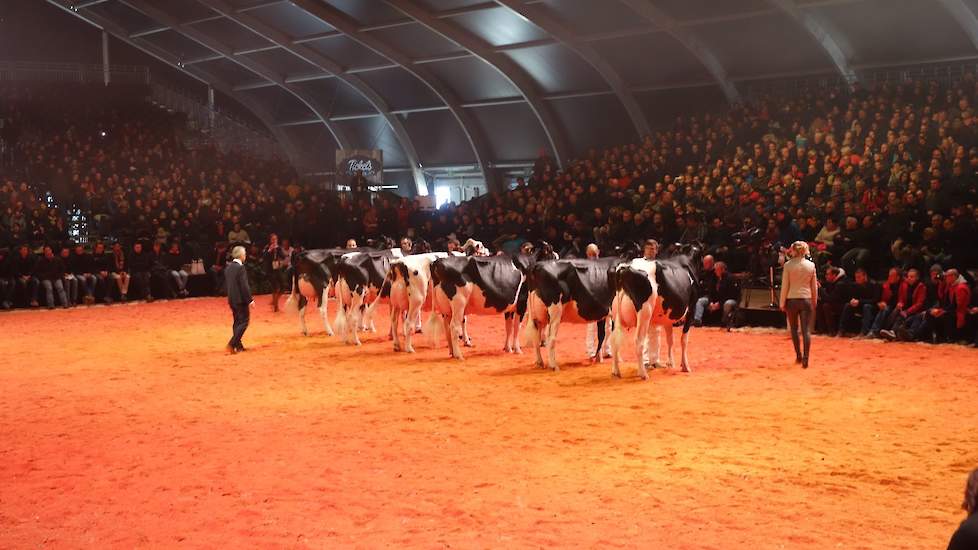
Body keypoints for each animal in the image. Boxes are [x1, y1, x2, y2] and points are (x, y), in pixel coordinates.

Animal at [608, 251, 696, 384]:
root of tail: (624, 268)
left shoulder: (667, 318)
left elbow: (670, 340)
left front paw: (671, 363)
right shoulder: (692, 309)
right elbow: (683, 340)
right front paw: (685, 366)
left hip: (615, 314)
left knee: (613, 341)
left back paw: (616, 371)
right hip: (645, 311)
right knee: (638, 341)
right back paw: (643, 374)